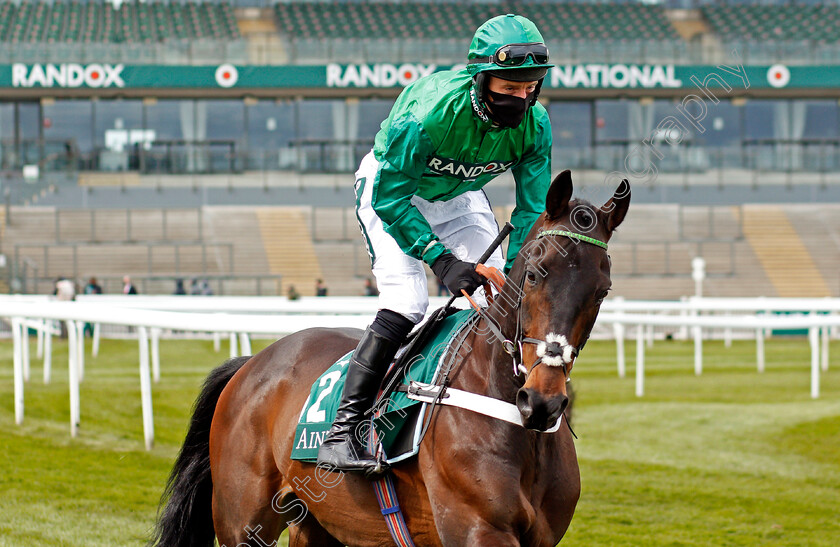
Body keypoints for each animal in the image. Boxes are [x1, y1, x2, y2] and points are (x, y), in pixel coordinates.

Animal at [151, 171, 628, 547]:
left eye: (603, 289)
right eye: (533, 274)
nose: (542, 401)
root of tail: (252, 363)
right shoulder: (479, 528)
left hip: (319, 524)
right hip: (242, 521)